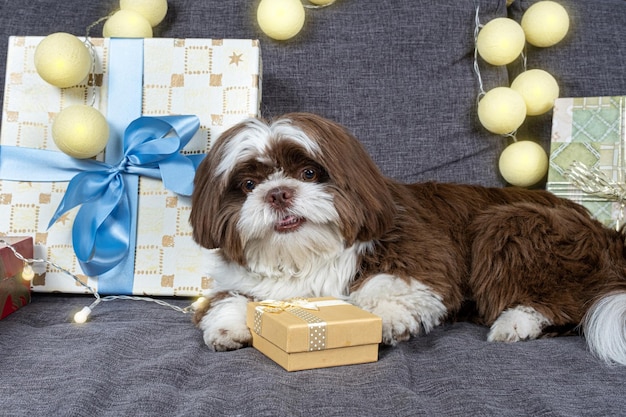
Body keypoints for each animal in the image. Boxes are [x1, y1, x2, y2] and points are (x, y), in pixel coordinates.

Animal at [189, 112, 624, 362]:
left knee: (566, 302)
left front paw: (389, 317)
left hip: (512, 224)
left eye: (309, 173)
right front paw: (227, 325)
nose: (278, 192)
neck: (306, 255)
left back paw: (515, 322)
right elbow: (226, 298)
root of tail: (606, 232)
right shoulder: (241, 280)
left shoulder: (422, 251)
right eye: (248, 185)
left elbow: (395, 283)